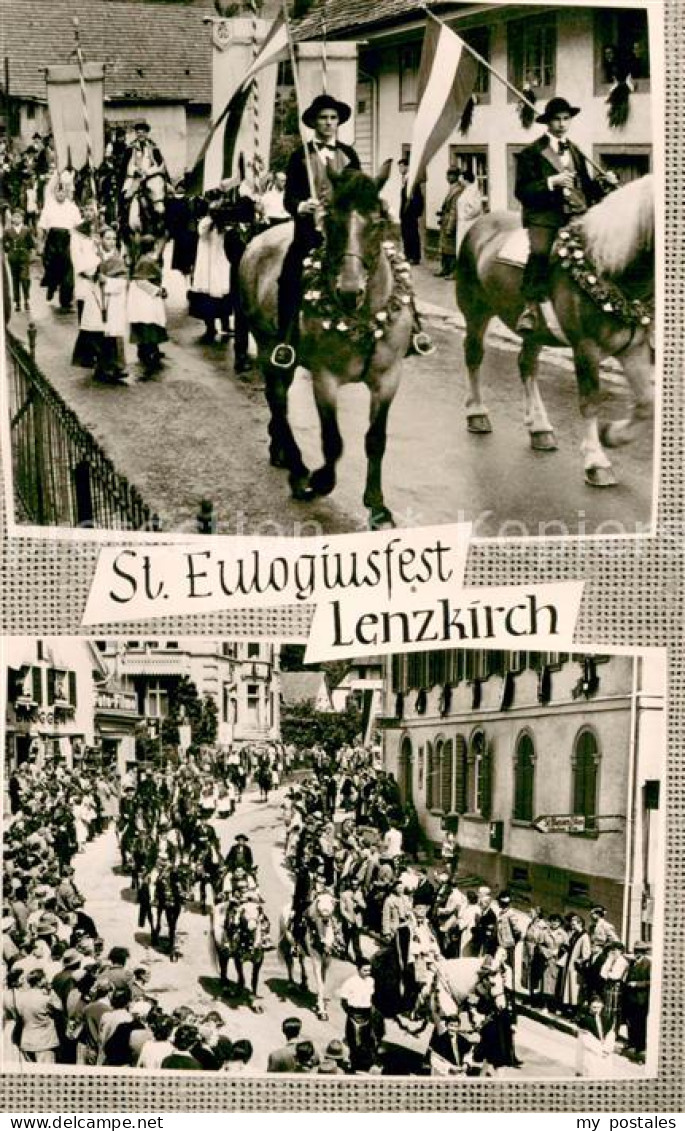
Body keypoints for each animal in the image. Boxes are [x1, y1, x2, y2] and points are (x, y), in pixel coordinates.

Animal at [240, 161, 413, 527]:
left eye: (378, 221)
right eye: (330, 219)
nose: (349, 291)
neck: (364, 318)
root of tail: (259, 238)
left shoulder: (389, 378)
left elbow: (375, 440)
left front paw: (377, 506)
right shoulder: (325, 378)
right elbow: (333, 441)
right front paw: (319, 480)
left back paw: (279, 451)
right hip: (267, 345)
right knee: (278, 399)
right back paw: (297, 467)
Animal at [458, 175, 655, 486]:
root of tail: (480, 223)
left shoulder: (634, 348)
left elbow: (647, 403)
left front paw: (612, 435)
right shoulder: (585, 349)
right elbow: (590, 400)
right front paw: (596, 461)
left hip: (535, 331)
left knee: (527, 364)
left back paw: (540, 428)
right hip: (476, 312)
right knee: (474, 355)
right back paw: (477, 413)